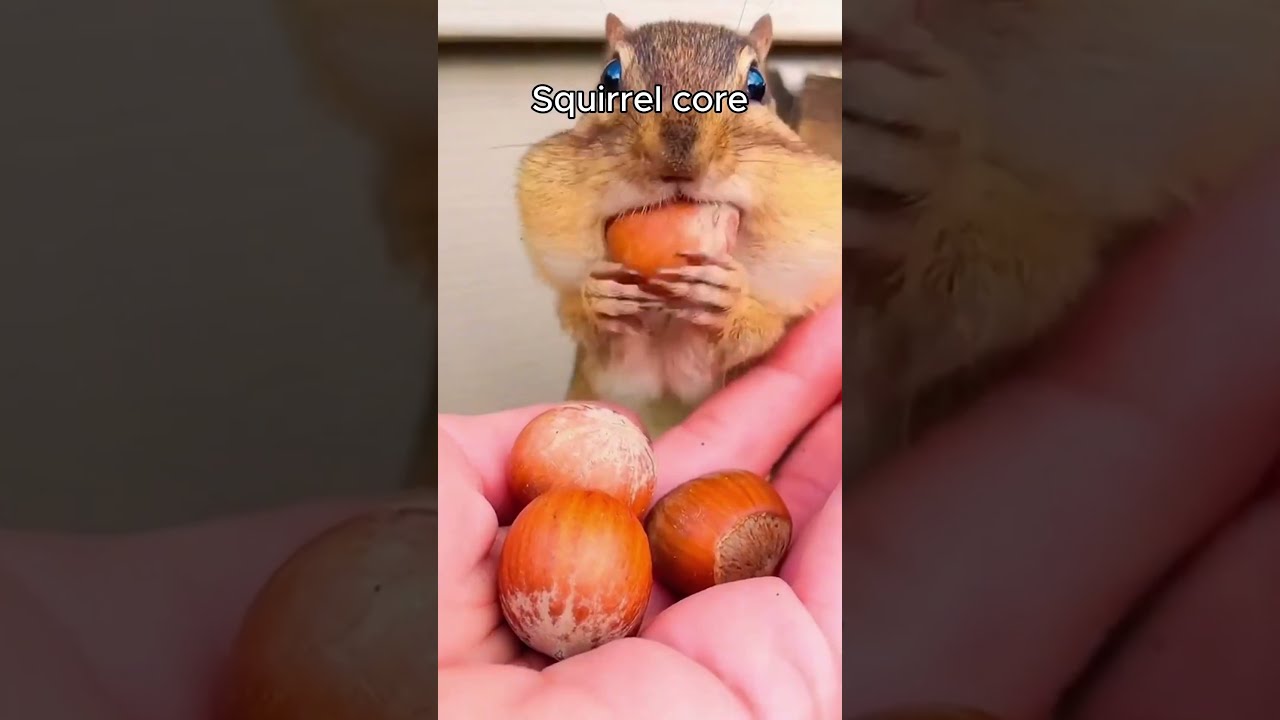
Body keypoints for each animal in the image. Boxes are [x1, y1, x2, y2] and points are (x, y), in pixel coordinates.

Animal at [515, 14, 843, 437]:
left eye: (757, 84)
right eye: (609, 77)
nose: (678, 161)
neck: (669, 320)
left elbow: (751, 333)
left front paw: (730, 297)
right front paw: (597, 295)